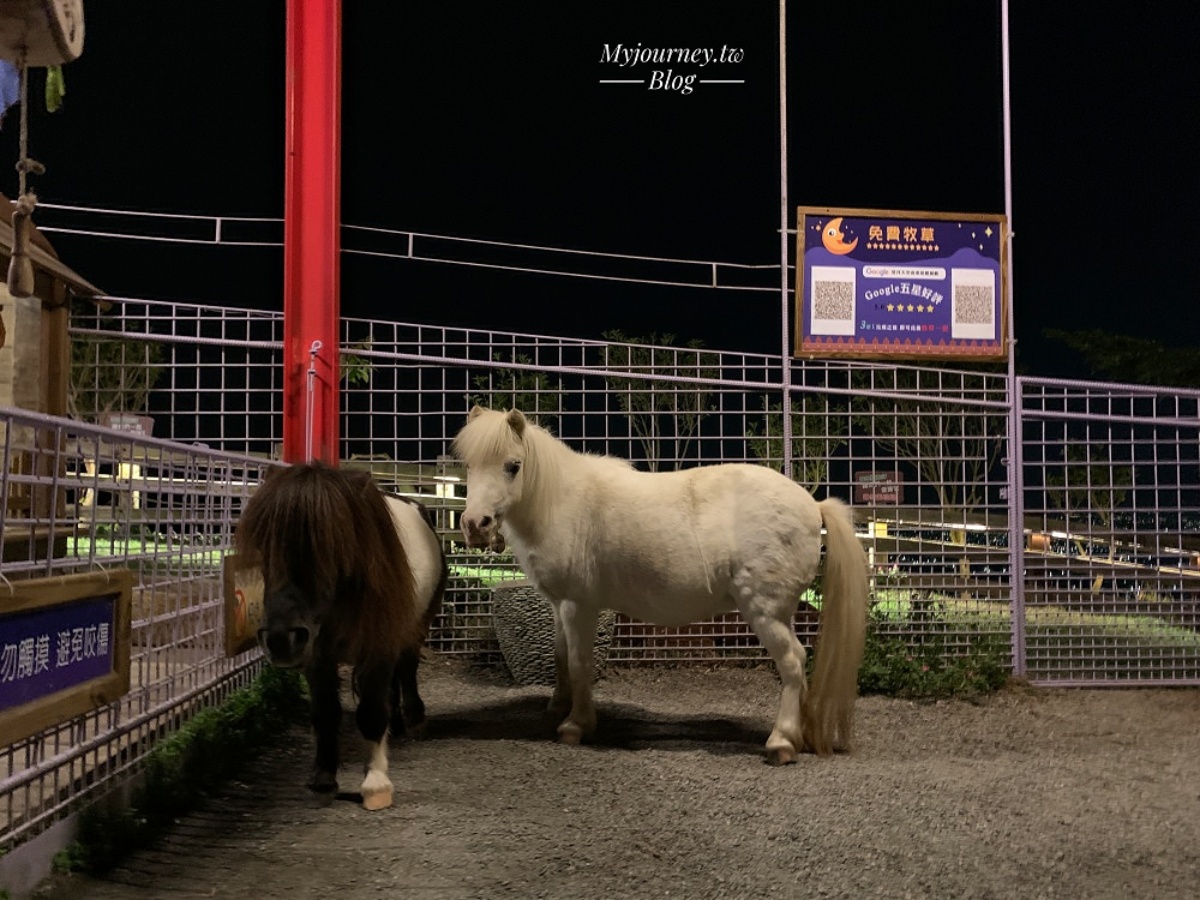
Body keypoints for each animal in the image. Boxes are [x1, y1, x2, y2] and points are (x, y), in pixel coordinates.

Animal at [234, 465, 446, 811]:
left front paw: (375, 784)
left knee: (407, 668)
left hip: (417, 625)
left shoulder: (378, 648)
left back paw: (414, 720)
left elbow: (371, 712)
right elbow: (326, 714)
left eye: (331, 548)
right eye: (264, 547)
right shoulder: (317, 656)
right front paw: (323, 779)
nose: (280, 639)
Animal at [453, 408, 868, 768]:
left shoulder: (578, 605)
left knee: (793, 661)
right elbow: (560, 659)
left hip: (764, 612)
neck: (560, 501)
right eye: (469, 465)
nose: (475, 524)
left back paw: (781, 743)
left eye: (513, 466)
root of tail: (813, 505)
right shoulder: (559, 606)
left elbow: (579, 661)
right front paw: (558, 706)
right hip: (781, 612)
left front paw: (576, 725)